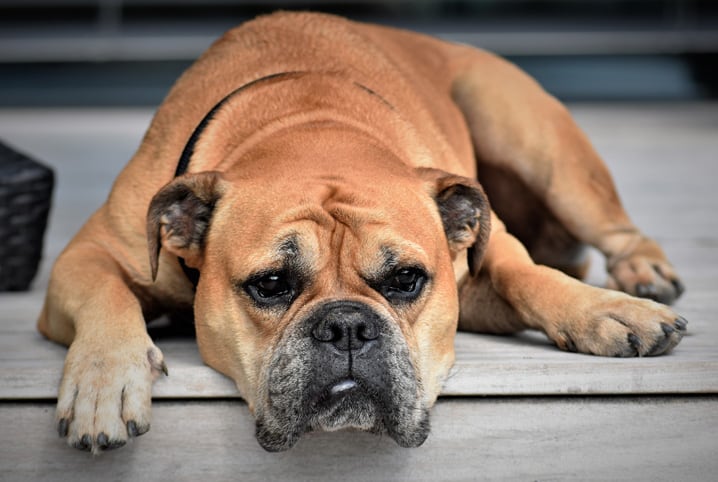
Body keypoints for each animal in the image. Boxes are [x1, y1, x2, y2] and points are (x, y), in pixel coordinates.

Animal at [36, 11, 688, 454]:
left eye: (406, 279)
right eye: (270, 284)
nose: (347, 325)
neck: (309, 126)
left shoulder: (484, 258)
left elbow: (526, 273)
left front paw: (605, 310)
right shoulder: (86, 254)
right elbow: (105, 292)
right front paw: (103, 382)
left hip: (537, 141)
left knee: (612, 229)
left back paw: (641, 275)